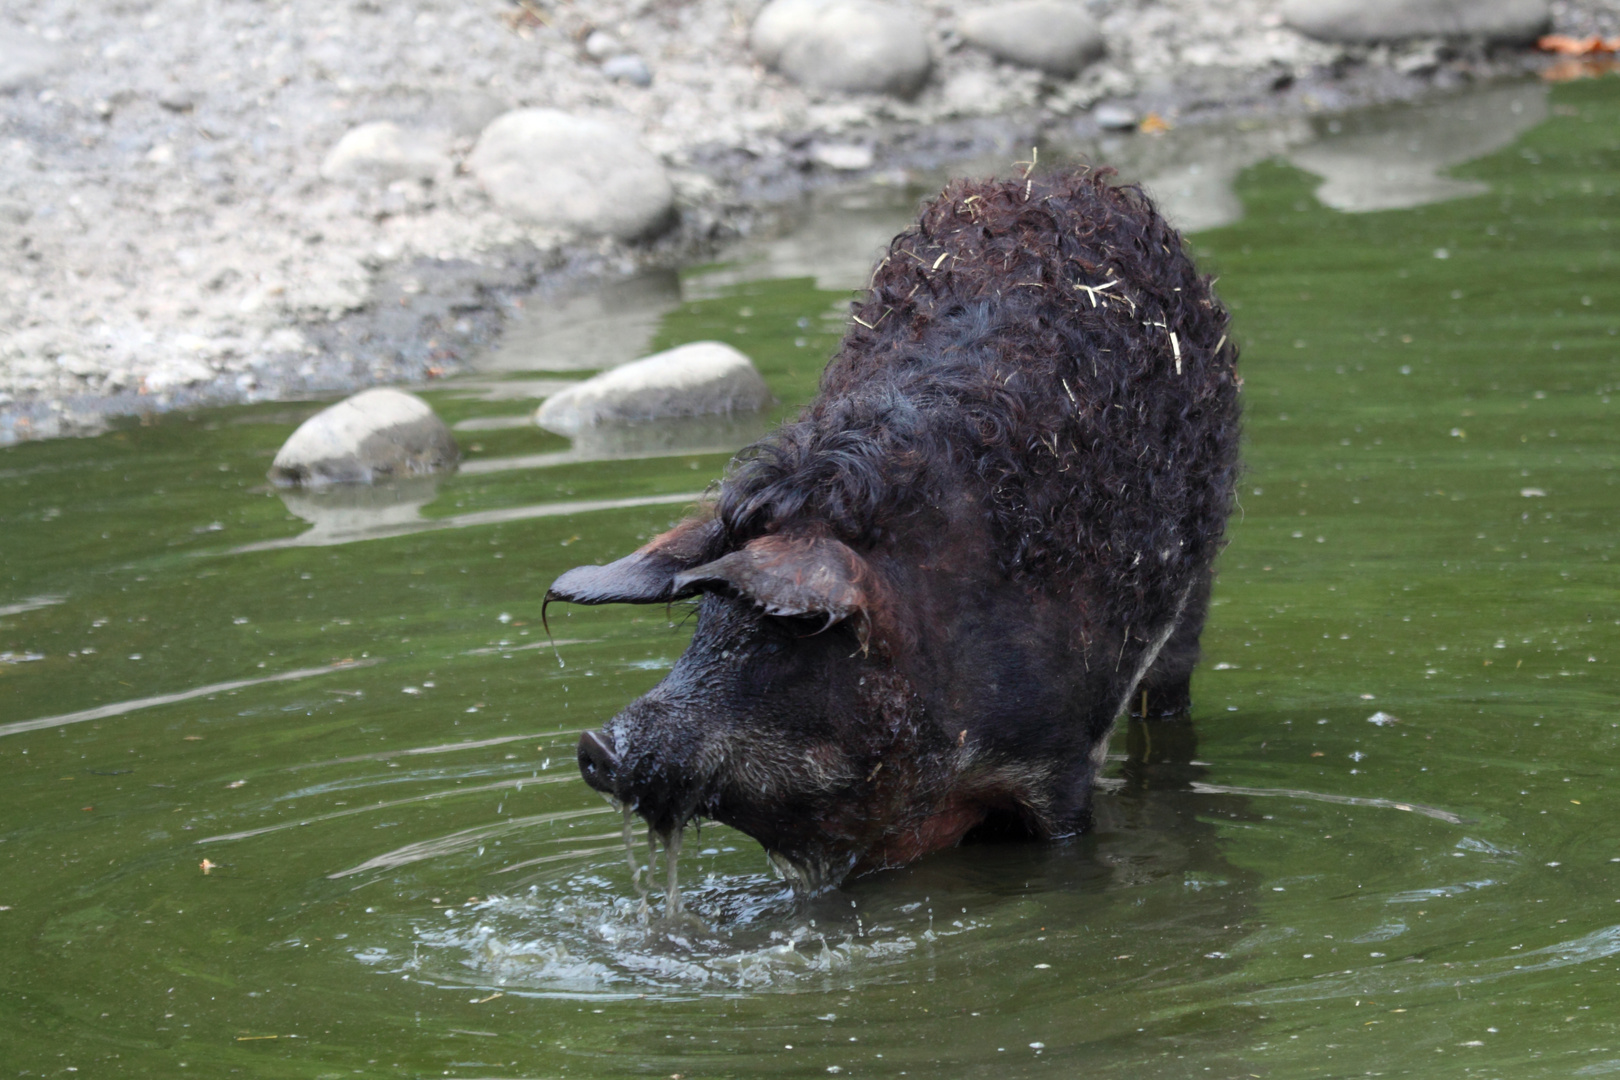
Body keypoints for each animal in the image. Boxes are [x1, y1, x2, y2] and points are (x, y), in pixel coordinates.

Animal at [544, 169, 1237, 893]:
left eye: (788, 634)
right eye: (704, 620)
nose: (596, 745)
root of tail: (1055, 179)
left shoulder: (1059, 759)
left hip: (1197, 582)